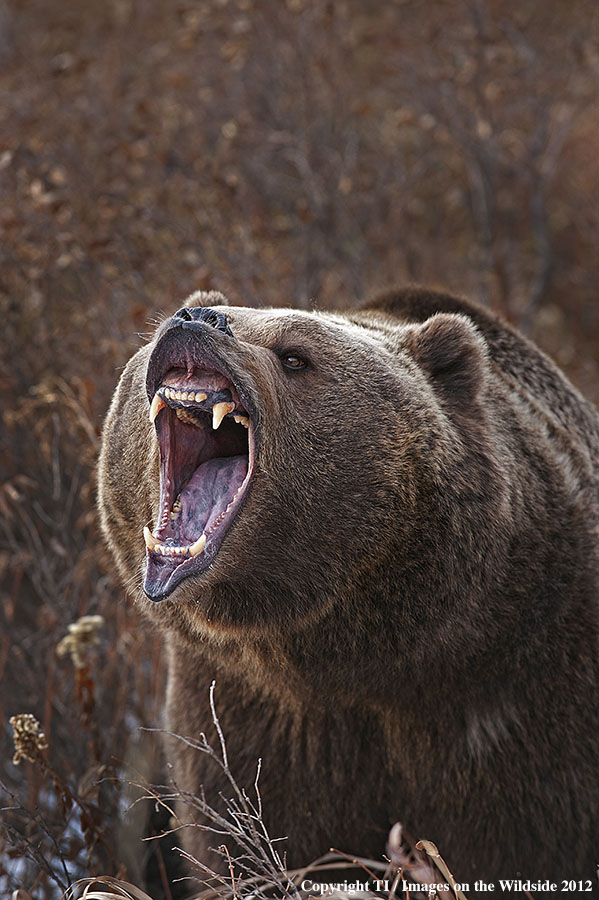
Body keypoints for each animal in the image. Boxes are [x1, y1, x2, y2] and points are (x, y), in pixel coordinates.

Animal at [98, 290, 599, 892]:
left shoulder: (522, 706)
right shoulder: (243, 718)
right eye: (183, 315)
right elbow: (240, 843)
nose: (196, 319)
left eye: (294, 356)